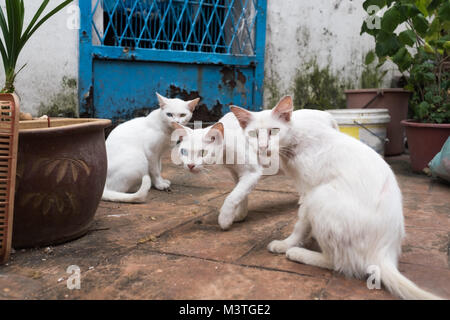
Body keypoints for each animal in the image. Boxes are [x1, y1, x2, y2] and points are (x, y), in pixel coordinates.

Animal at [230, 95, 442, 300]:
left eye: (274, 131)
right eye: (253, 134)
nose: (263, 147)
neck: (294, 141)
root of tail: (384, 253)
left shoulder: (309, 191)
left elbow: (300, 225)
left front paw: (286, 244)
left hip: (320, 196)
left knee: (340, 263)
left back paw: (298, 253)